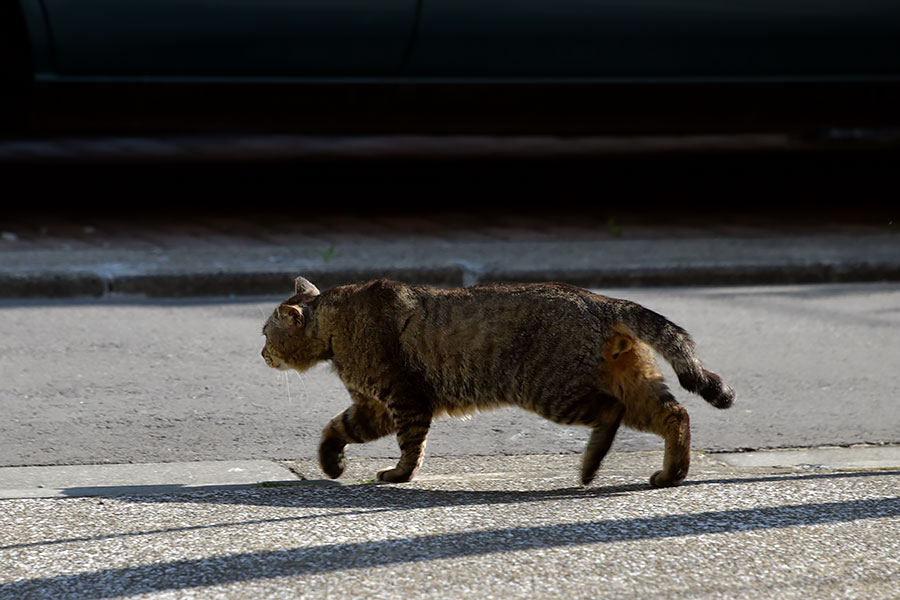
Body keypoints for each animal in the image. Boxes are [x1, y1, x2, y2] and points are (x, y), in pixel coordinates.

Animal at [258, 276, 732, 488]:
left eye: (264, 333)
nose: (260, 353)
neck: (335, 328)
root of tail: (598, 300)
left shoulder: (404, 398)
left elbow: (411, 446)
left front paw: (400, 474)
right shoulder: (372, 406)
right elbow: (335, 428)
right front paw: (330, 464)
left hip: (553, 389)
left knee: (612, 412)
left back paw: (590, 467)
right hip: (634, 384)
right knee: (676, 413)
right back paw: (671, 473)